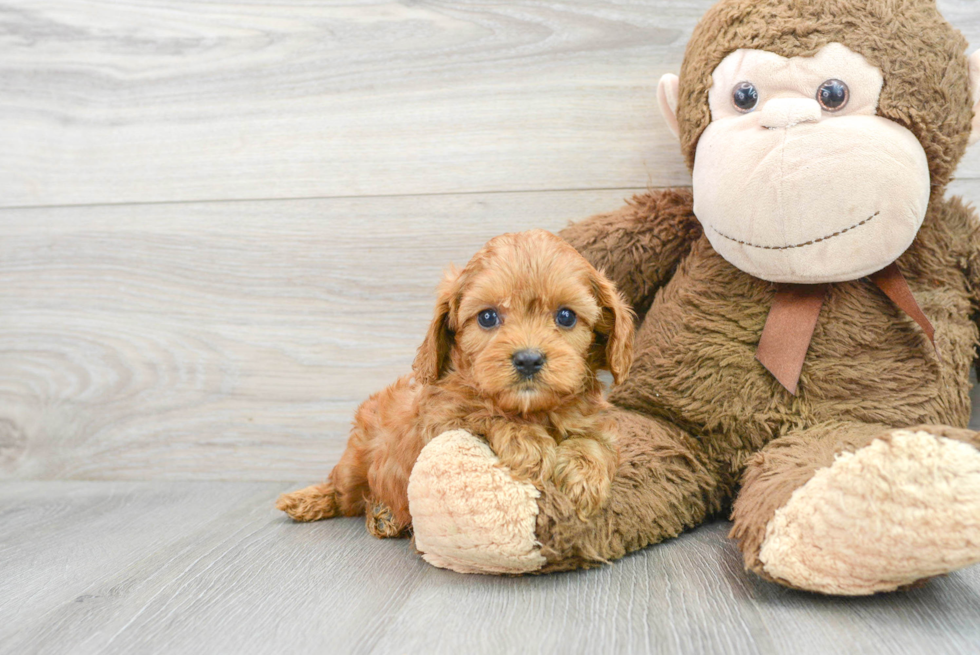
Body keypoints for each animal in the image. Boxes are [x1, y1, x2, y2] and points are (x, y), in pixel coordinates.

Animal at [278, 231, 636, 540]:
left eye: (566, 316)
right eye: (487, 317)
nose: (528, 359)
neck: (531, 409)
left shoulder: (597, 425)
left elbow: (594, 443)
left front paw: (583, 478)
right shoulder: (439, 423)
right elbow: (483, 413)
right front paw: (529, 442)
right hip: (356, 462)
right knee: (342, 491)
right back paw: (313, 501)